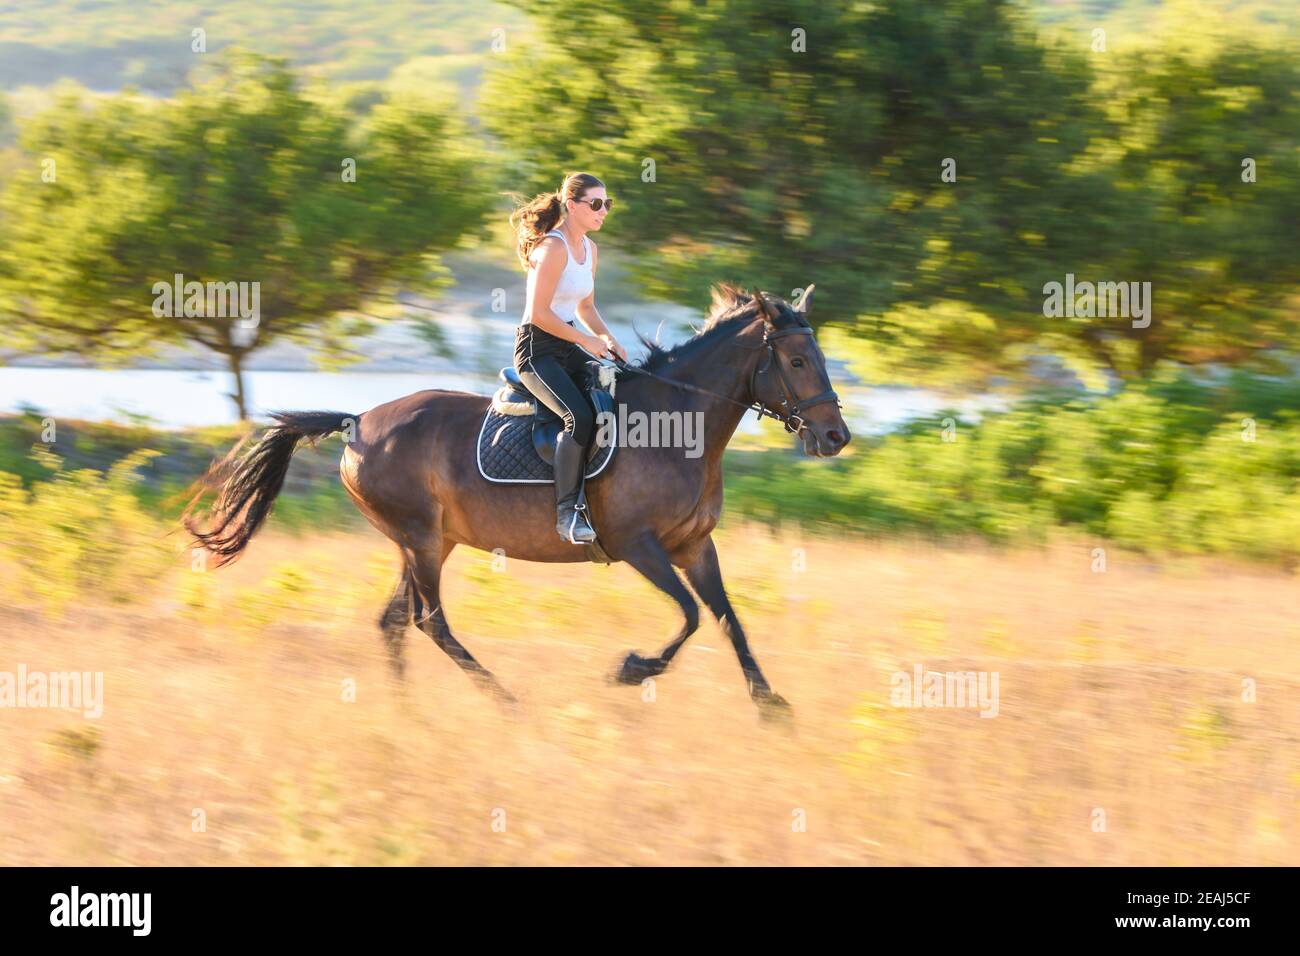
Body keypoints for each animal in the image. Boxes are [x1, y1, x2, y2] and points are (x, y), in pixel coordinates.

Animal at [183, 283, 852, 717]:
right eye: (797, 360)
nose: (835, 437)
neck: (676, 424)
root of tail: (356, 422)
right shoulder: (638, 544)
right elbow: (689, 615)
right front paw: (632, 669)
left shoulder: (693, 546)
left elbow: (728, 618)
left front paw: (771, 704)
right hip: (421, 540)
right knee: (429, 621)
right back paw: (504, 699)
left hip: (428, 541)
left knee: (396, 621)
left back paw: (406, 712)